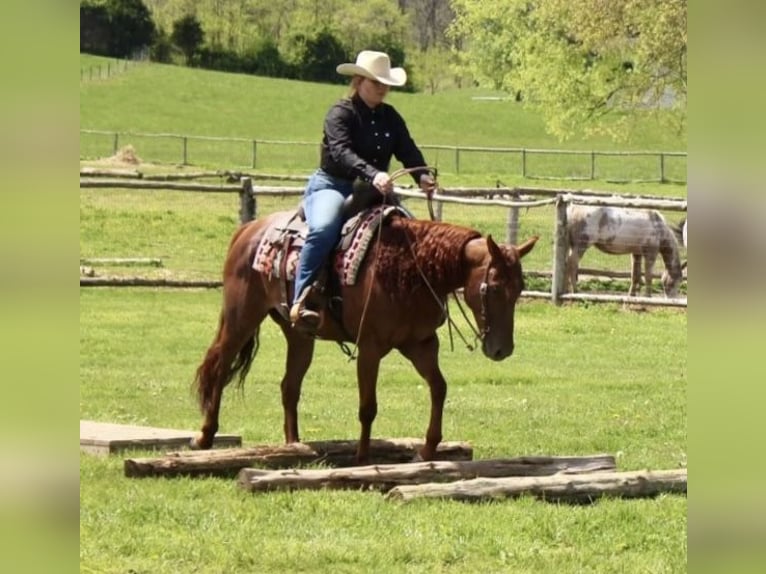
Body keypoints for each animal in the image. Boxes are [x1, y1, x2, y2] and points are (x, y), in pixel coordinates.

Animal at [192, 209, 540, 466]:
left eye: (519, 288)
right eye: (492, 287)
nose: (502, 350)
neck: (409, 267)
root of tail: (248, 229)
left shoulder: (420, 345)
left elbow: (439, 388)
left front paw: (426, 450)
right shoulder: (371, 347)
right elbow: (368, 406)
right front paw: (362, 458)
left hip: (299, 335)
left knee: (289, 386)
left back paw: (293, 446)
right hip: (241, 317)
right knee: (220, 368)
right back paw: (205, 437)